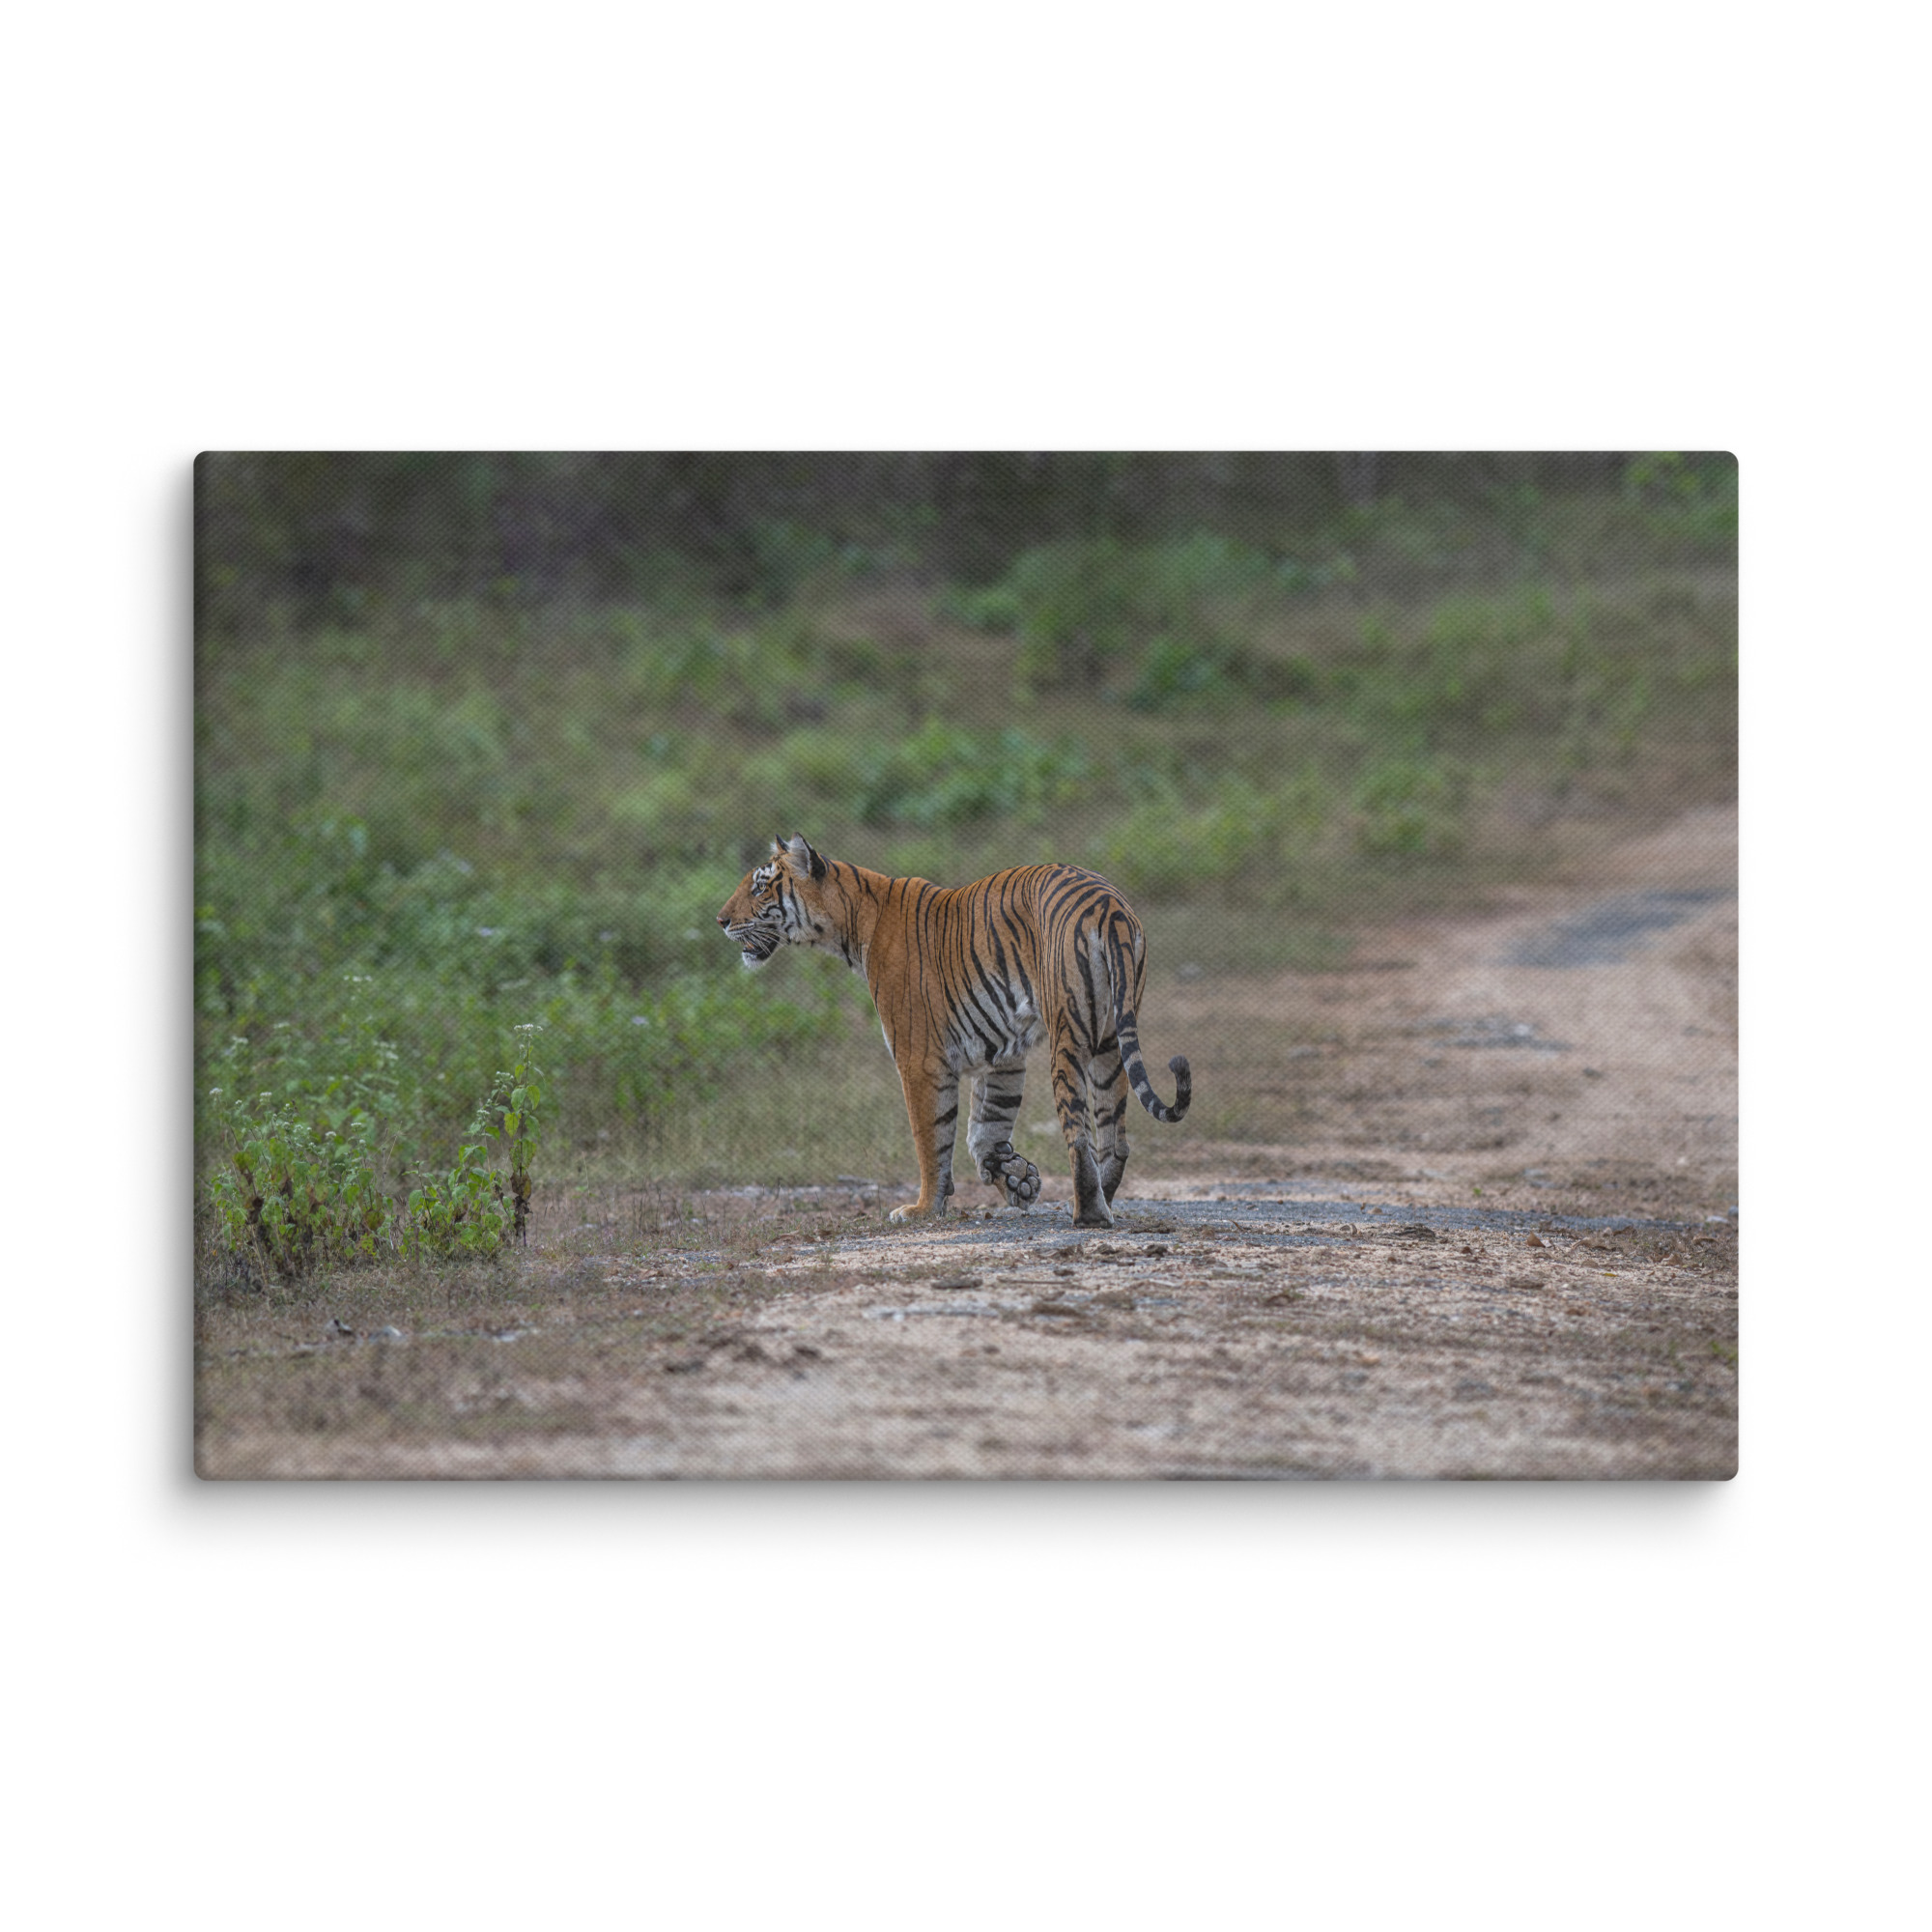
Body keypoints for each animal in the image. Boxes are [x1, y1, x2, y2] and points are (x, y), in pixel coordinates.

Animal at [716, 835, 1191, 1228]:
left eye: (760, 887)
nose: (721, 920)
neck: (851, 922)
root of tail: (1109, 906)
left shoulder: (919, 1058)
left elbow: (932, 1137)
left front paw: (924, 1208)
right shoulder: (1003, 1054)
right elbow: (986, 1125)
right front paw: (1015, 1178)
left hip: (1069, 1035)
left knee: (1078, 1135)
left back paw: (1088, 1214)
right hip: (1110, 1041)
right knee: (1115, 1137)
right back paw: (1103, 1199)